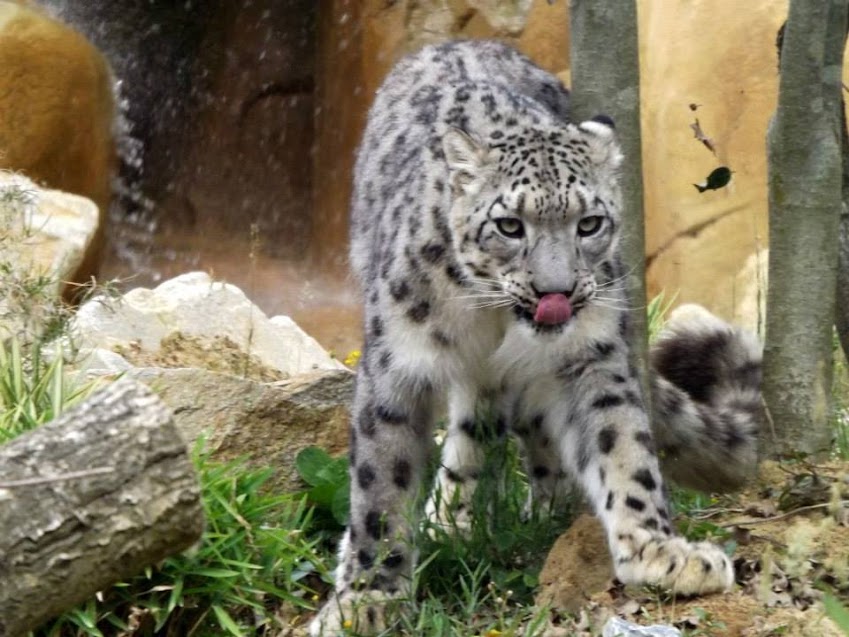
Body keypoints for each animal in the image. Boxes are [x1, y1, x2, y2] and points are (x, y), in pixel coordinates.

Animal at [308, 41, 760, 636]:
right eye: (509, 226)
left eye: (589, 223)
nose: (557, 292)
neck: (496, 321)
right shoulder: (397, 365)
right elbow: (381, 483)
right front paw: (366, 598)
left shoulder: (593, 356)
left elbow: (623, 447)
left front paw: (660, 552)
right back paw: (446, 525)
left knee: (490, 429)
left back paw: (512, 510)